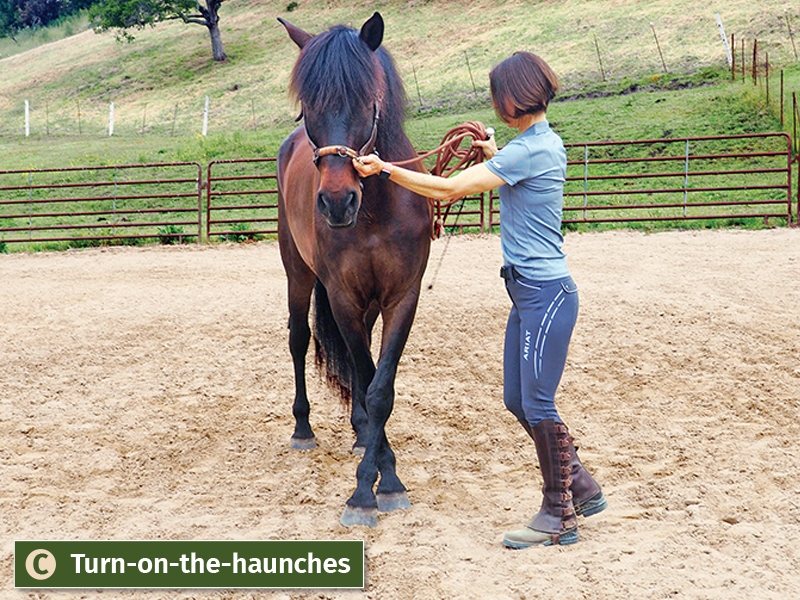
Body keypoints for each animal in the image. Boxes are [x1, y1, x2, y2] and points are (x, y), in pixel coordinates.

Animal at [276, 12, 432, 527]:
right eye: (307, 107)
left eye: (368, 101)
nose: (336, 201)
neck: (376, 211)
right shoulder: (342, 295)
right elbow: (365, 379)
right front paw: (369, 488)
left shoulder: (402, 298)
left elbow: (379, 387)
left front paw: (387, 481)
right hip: (298, 274)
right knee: (299, 339)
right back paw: (304, 428)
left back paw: (363, 435)